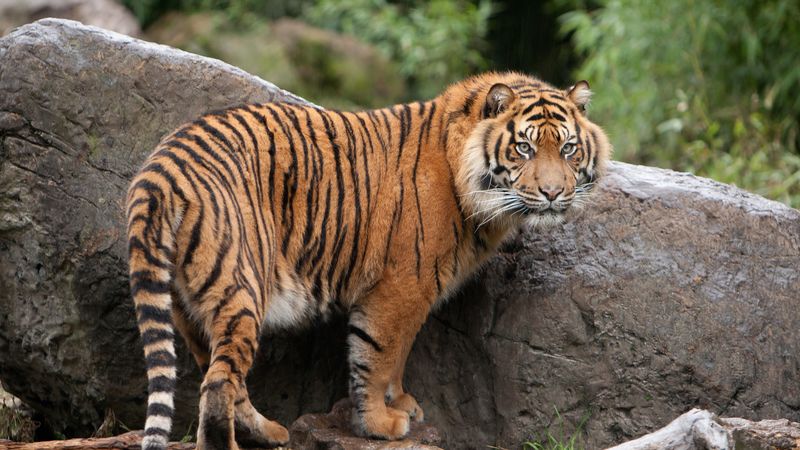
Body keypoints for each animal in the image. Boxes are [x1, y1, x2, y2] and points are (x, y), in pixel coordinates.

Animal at [125, 71, 611, 450]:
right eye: (524, 149)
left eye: (568, 149)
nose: (553, 193)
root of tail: (158, 173)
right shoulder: (400, 287)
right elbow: (376, 356)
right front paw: (380, 422)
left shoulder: (413, 293)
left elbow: (397, 357)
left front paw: (402, 404)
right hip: (240, 286)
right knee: (217, 385)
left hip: (189, 307)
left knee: (220, 373)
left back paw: (270, 431)